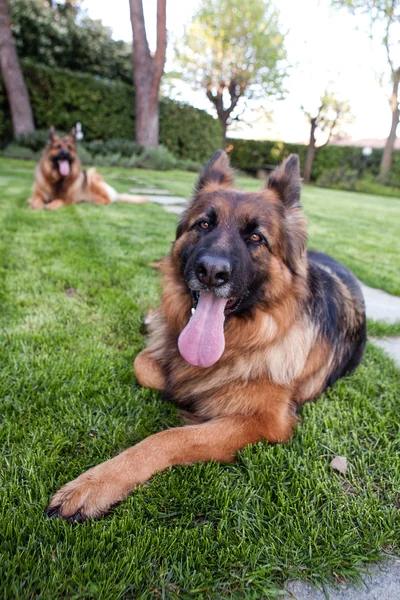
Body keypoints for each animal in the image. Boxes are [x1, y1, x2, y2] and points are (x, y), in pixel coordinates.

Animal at [46, 149, 366, 520]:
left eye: (256, 237)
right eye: (204, 224)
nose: (211, 272)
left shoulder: (264, 422)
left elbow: (171, 436)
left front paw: (95, 484)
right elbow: (147, 366)